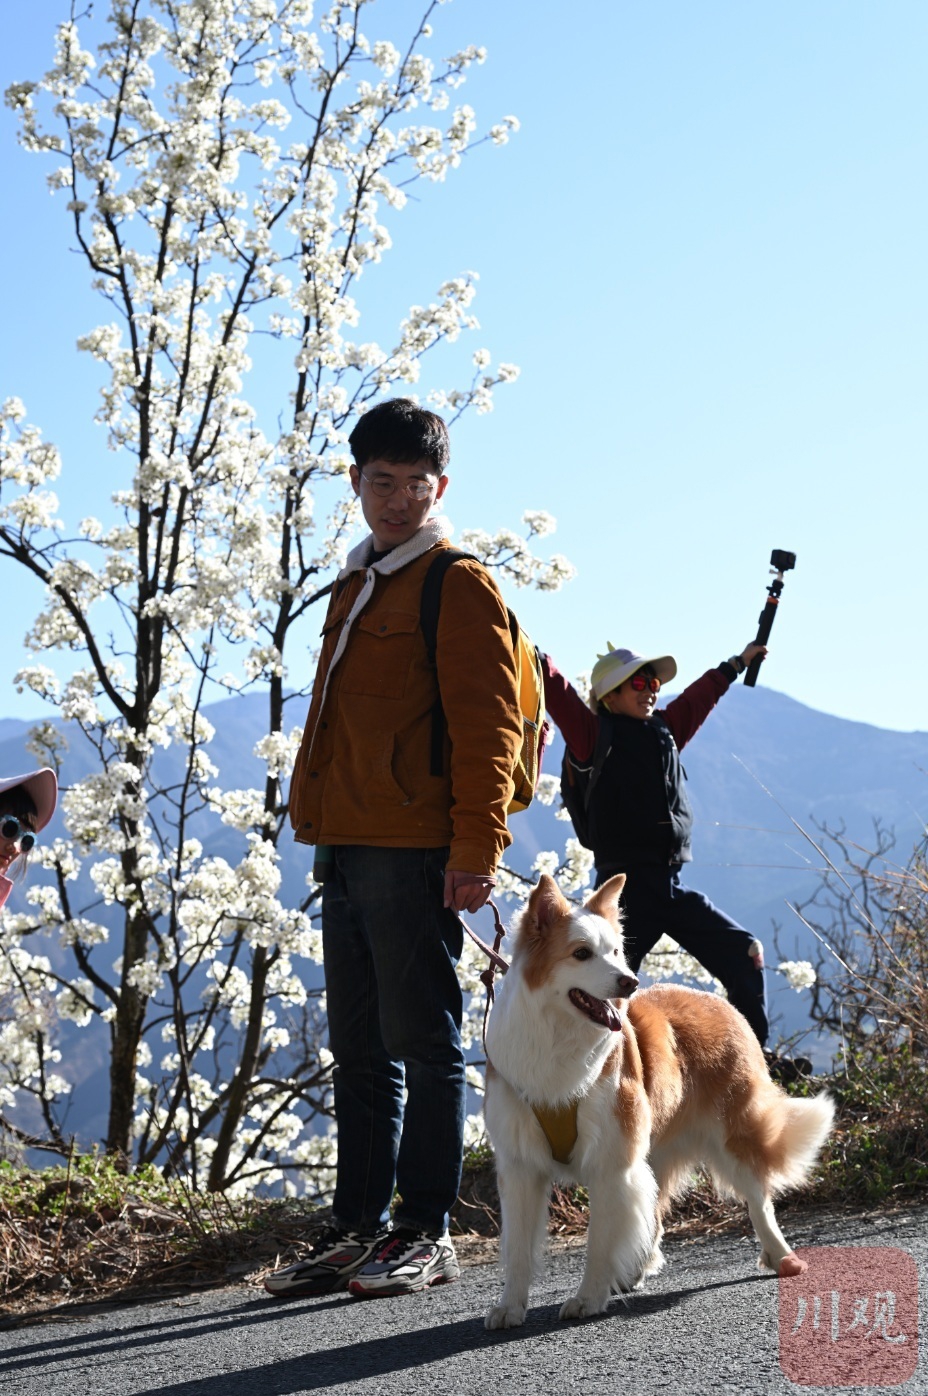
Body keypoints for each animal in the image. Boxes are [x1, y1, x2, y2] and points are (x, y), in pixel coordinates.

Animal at [483, 873, 834, 1329]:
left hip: (732, 1133)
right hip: (656, 1146)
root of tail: (718, 999)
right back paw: (637, 1266)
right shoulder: (520, 1164)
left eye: (616, 951)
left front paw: (589, 1297)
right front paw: (510, 1307)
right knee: (654, 1207)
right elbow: (518, 1250)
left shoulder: (611, 1160)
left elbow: (599, 1240)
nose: (629, 982)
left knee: (758, 1199)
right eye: (581, 953)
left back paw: (781, 1256)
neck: (556, 1037)